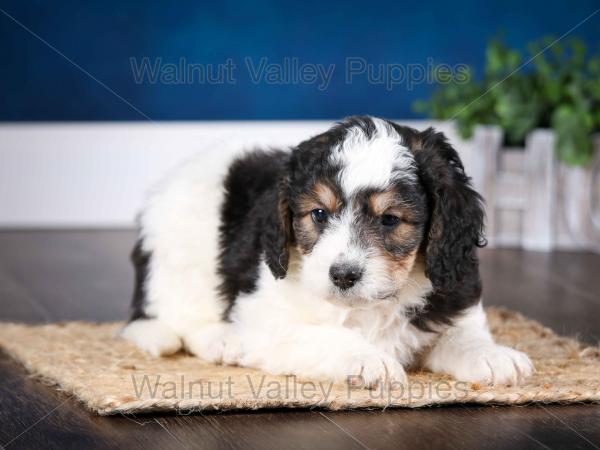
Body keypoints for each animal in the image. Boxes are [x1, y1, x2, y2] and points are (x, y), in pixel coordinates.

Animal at [122, 116, 536, 386]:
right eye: (319, 214)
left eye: (389, 220)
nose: (343, 276)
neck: (374, 306)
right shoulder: (266, 316)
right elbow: (322, 336)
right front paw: (368, 360)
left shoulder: (453, 296)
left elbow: (461, 335)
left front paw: (493, 355)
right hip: (183, 259)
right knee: (179, 317)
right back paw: (220, 340)